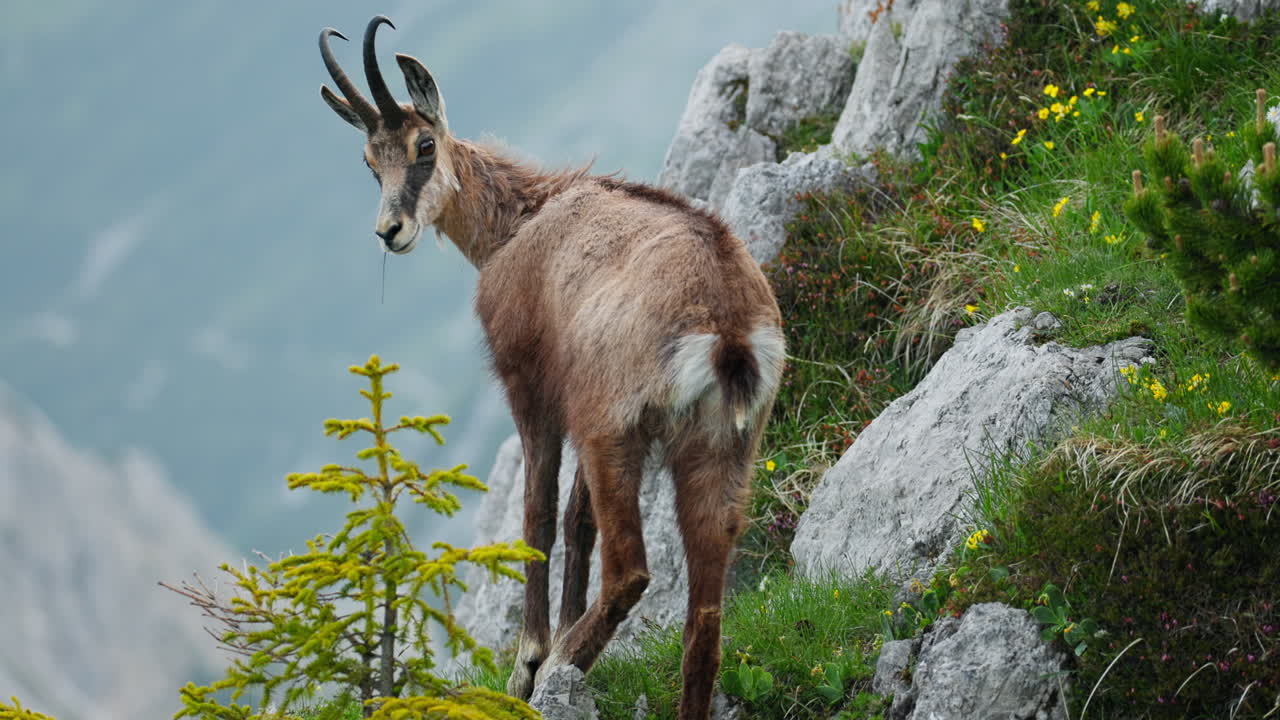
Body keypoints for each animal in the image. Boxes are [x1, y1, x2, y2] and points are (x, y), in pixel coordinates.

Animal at [317, 17, 785, 719]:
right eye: (370, 162)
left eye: (425, 145)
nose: (390, 231)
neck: (519, 222)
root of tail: (726, 323)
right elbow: (576, 521)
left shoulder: (533, 389)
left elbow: (538, 512)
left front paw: (529, 660)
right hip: (722, 447)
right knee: (703, 616)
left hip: (614, 431)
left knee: (632, 570)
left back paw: (563, 664)